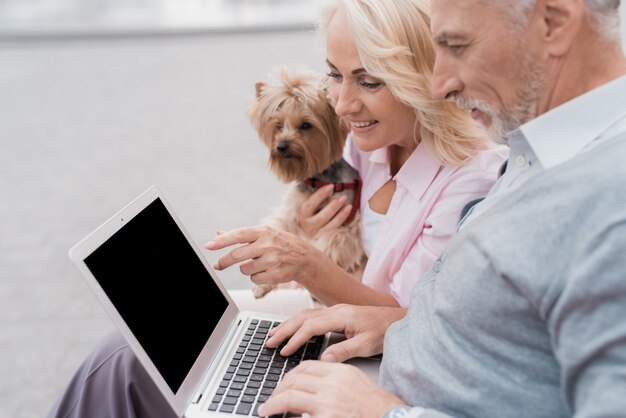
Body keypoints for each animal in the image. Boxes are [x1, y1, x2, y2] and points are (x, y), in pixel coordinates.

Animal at [247, 67, 366, 298]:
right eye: (278, 126)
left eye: (305, 125)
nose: (281, 146)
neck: (318, 181)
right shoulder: (294, 211)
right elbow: (278, 228)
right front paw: (264, 283)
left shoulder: (346, 225)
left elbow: (328, 247)